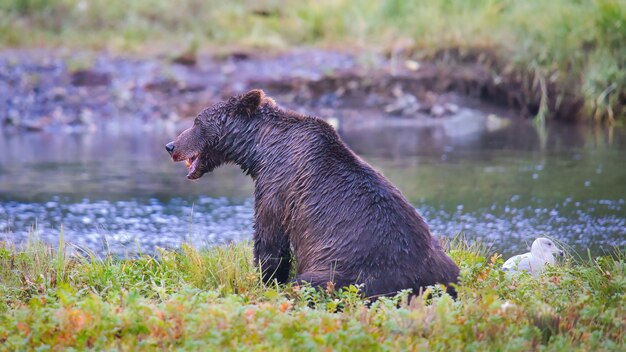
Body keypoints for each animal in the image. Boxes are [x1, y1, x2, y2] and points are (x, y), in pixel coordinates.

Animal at [166, 89, 458, 298]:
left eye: (197, 122)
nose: (170, 145)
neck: (259, 150)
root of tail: (420, 282)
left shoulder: (278, 185)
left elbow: (270, 238)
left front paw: (265, 280)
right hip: (446, 266)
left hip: (352, 270)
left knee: (308, 283)